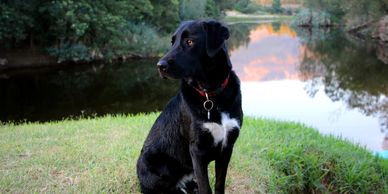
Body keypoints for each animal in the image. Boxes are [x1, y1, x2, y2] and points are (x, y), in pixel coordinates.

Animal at [135, 20, 241, 194]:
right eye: (172, 42)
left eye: (189, 41)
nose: (159, 66)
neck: (210, 94)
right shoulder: (197, 150)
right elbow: (206, 187)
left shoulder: (227, 147)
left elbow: (219, 184)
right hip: (154, 164)